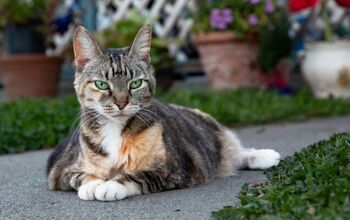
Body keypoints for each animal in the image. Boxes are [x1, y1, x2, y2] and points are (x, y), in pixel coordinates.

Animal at [47, 24, 282, 201]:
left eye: (135, 83)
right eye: (102, 84)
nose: (121, 103)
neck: (116, 130)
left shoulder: (172, 169)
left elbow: (138, 176)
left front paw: (110, 185)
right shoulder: (61, 171)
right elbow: (80, 176)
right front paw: (92, 184)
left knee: (235, 151)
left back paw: (265, 155)